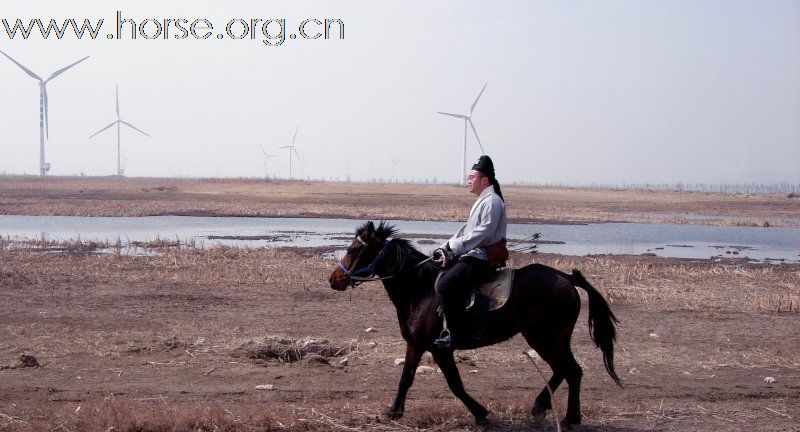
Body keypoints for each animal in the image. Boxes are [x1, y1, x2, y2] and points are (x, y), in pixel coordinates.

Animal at [328, 223, 620, 428]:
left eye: (354, 249)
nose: (334, 278)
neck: (419, 290)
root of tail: (566, 278)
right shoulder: (415, 345)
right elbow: (406, 379)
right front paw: (393, 411)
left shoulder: (440, 349)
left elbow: (455, 384)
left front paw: (480, 414)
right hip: (554, 339)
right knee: (571, 371)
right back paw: (561, 413)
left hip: (544, 338)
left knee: (567, 369)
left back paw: (558, 413)